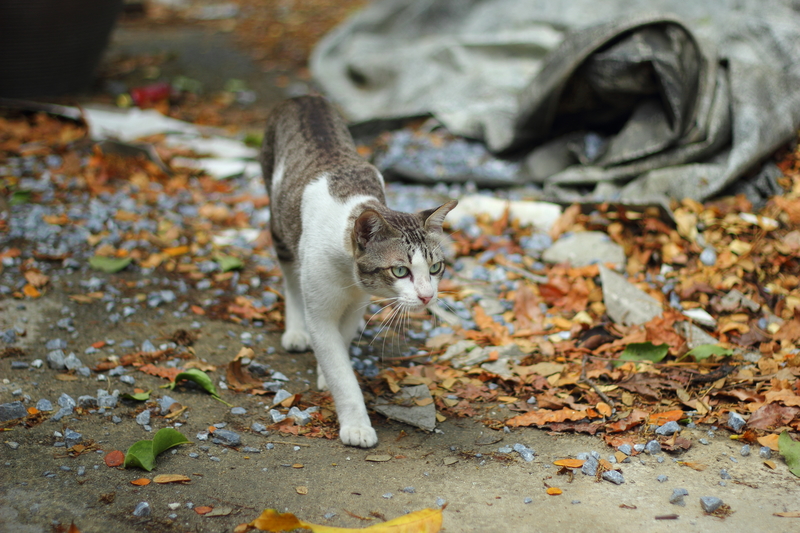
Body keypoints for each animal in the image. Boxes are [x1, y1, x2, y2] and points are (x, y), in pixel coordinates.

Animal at [258, 94, 456, 444]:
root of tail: (304, 97)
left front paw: (326, 372)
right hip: (279, 224)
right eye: (400, 271)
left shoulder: (357, 303)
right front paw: (356, 425)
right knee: (290, 279)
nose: (426, 297)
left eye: (435, 268)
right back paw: (296, 330)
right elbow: (341, 371)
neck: (348, 277)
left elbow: (342, 341)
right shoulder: (320, 310)